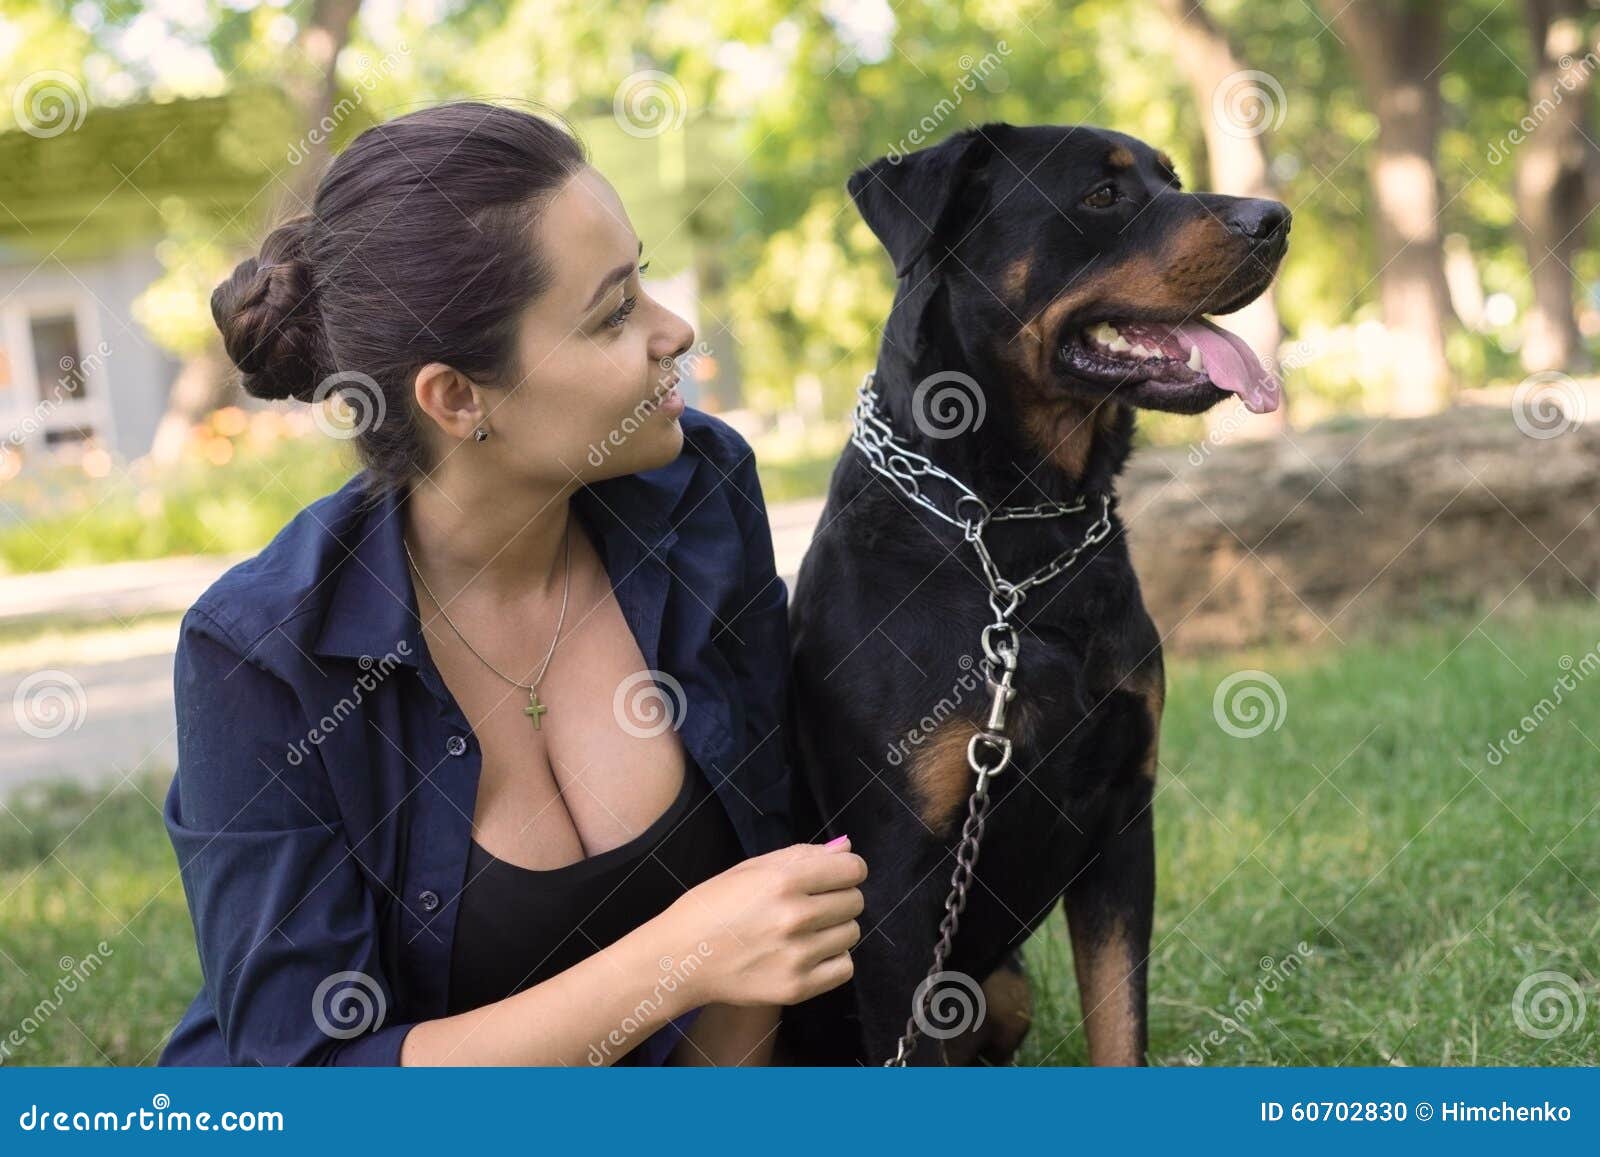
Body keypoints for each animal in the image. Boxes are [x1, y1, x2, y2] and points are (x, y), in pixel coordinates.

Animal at [774, 124, 1286, 1068]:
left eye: (1172, 178)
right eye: (1101, 195)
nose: (1275, 217)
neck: (1016, 527)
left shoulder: (1123, 819)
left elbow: (1119, 1021)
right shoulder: (894, 881)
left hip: (1005, 988)